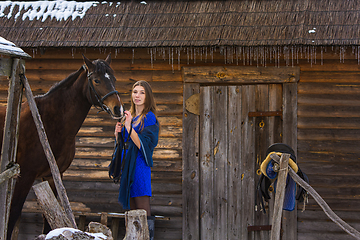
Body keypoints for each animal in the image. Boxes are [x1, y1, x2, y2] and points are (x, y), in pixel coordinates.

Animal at [2, 53, 124, 239]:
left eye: (114, 79)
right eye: (96, 80)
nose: (118, 108)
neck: (48, 120)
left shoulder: (52, 176)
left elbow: (48, 218)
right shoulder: (26, 175)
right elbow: (13, 213)